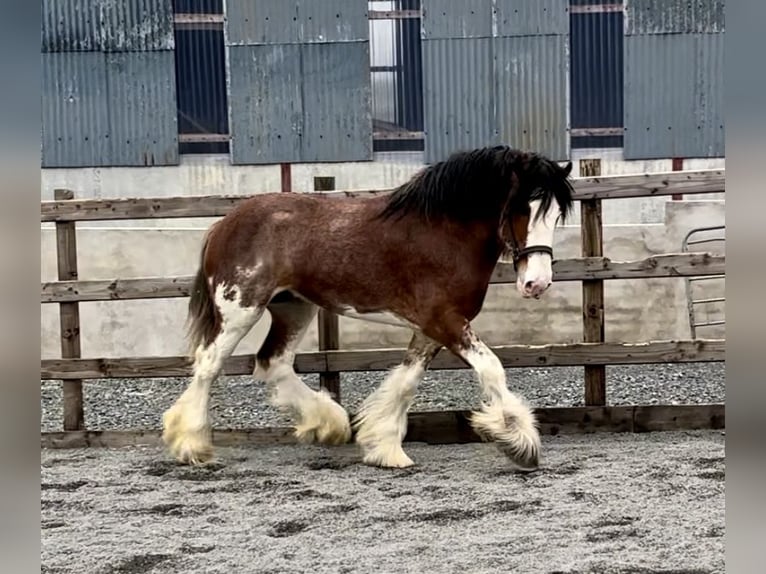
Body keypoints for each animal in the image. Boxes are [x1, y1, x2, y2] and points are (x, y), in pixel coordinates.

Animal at [162, 147, 572, 472]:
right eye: (522, 208)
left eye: (555, 215)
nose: (537, 283)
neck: (444, 233)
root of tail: (223, 224)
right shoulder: (445, 321)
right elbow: (492, 369)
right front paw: (520, 443)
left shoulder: (430, 328)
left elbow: (406, 382)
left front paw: (385, 448)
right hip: (239, 308)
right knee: (209, 365)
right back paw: (192, 445)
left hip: (294, 307)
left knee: (273, 362)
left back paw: (329, 424)